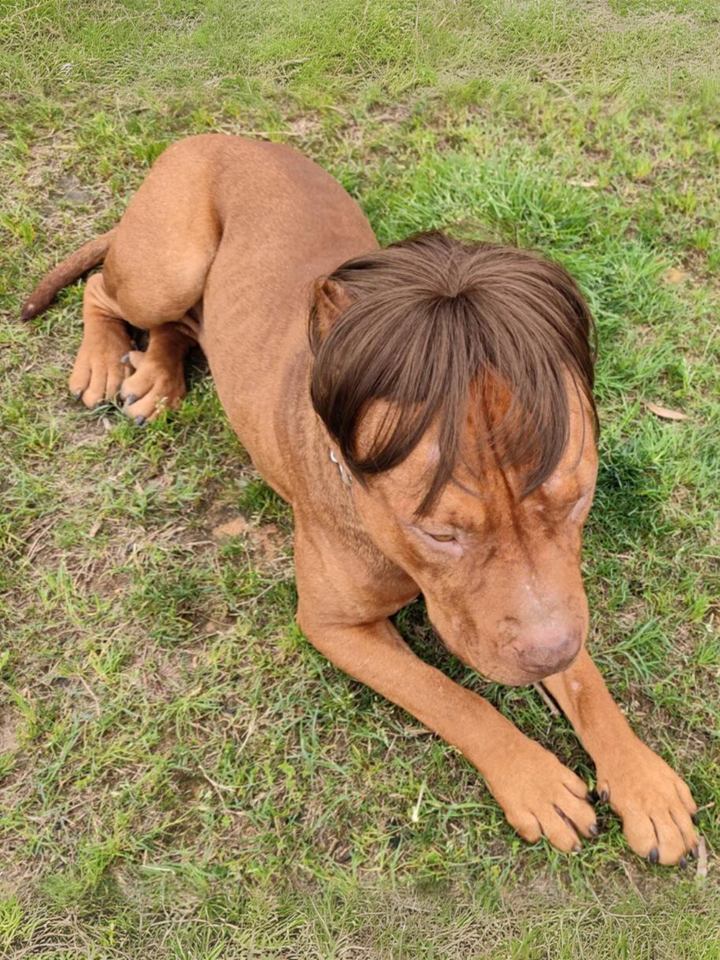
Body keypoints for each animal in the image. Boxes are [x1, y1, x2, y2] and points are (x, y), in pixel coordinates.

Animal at [22, 133, 696, 864]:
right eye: (438, 533)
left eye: (577, 497)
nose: (547, 654)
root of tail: (220, 136)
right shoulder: (334, 627)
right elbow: (451, 698)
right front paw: (535, 780)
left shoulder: (554, 601)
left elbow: (586, 684)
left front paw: (643, 781)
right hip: (166, 268)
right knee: (106, 291)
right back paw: (104, 359)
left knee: (182, 326)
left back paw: (157, 376)